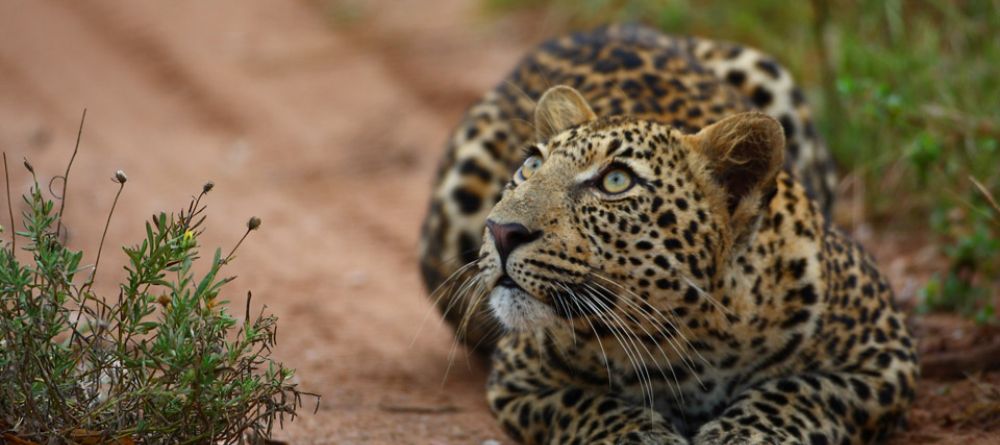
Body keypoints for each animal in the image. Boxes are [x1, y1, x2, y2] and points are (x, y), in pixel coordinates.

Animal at [418, 25, 917, 444]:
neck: (685, 341)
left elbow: (795, 392)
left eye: (615, 181)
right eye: (531, 166)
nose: (501, 231)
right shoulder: (521, 378)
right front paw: (643, 434)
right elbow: (589, 404)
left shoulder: (885, 354)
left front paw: (739, 435)